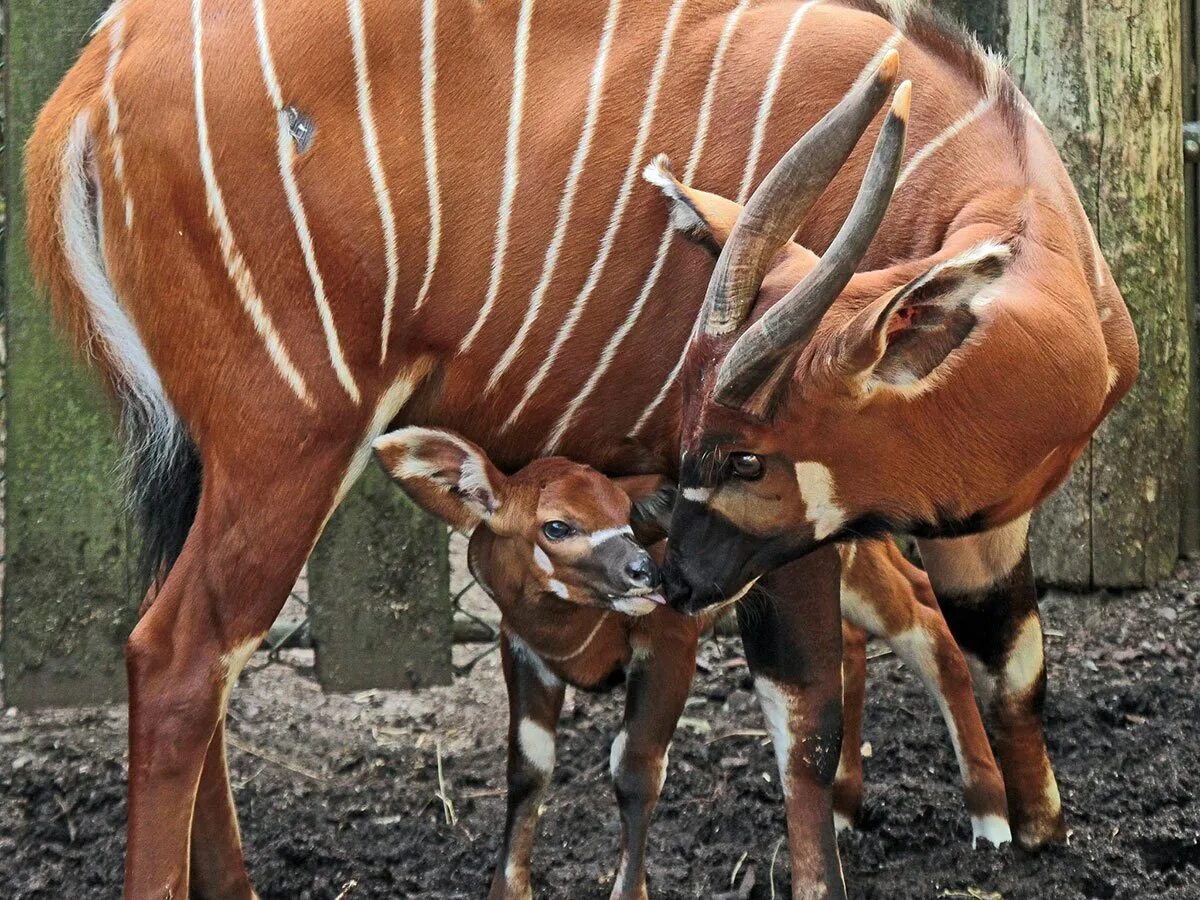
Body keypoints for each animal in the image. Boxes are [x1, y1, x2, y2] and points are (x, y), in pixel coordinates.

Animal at [376, 429, 1012, 900]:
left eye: (627, 515)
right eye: (557, 525)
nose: (647, 572)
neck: (571, 630)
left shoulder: (670, 642)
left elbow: (635, 768)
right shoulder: (523, 649)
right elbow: (528, 768)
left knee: (928, 624)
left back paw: (992, 824)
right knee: (869, 634)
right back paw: (844, 812)